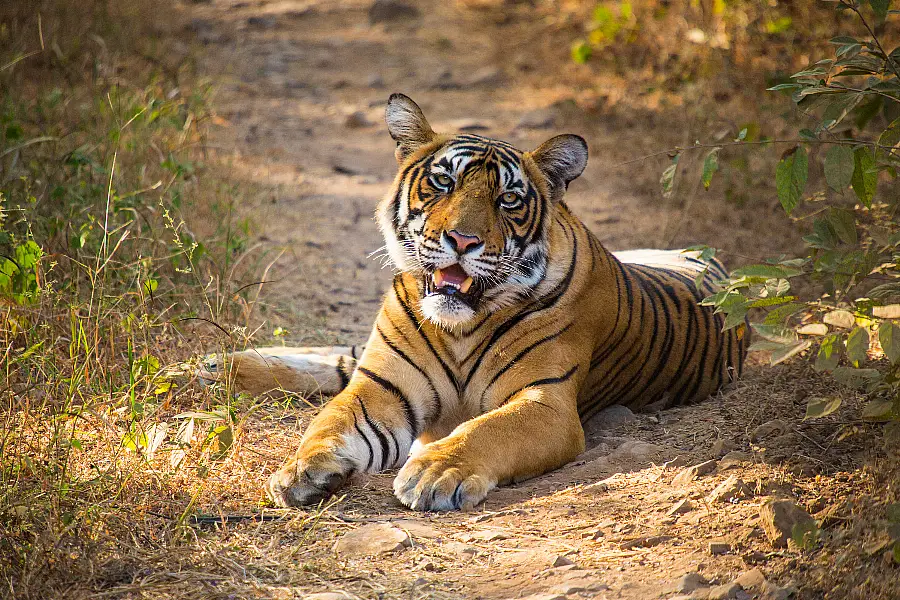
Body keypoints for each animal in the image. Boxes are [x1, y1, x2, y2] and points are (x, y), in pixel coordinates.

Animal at [204, 92, 744, 510]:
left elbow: (487, 430)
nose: (463, 240)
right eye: (444, 182)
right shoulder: (381, 386)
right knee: (343, 358)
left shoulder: (546, 402)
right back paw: (214, 366)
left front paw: (435, 471)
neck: (461, 325)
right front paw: (302, 469)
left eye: (508, 200)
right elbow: (330, 423)